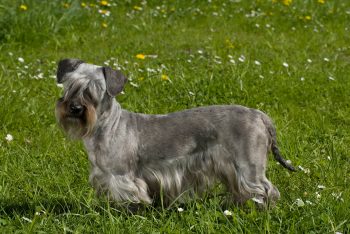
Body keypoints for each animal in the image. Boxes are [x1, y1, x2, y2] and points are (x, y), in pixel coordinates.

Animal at [54, 58, 296, 208]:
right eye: (70, 86)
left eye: (94, 91)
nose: (75, 108)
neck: (107, 126)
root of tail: (260, 115)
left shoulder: (122, 177)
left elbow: (130, 199)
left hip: (249, 166)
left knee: (265, 189)